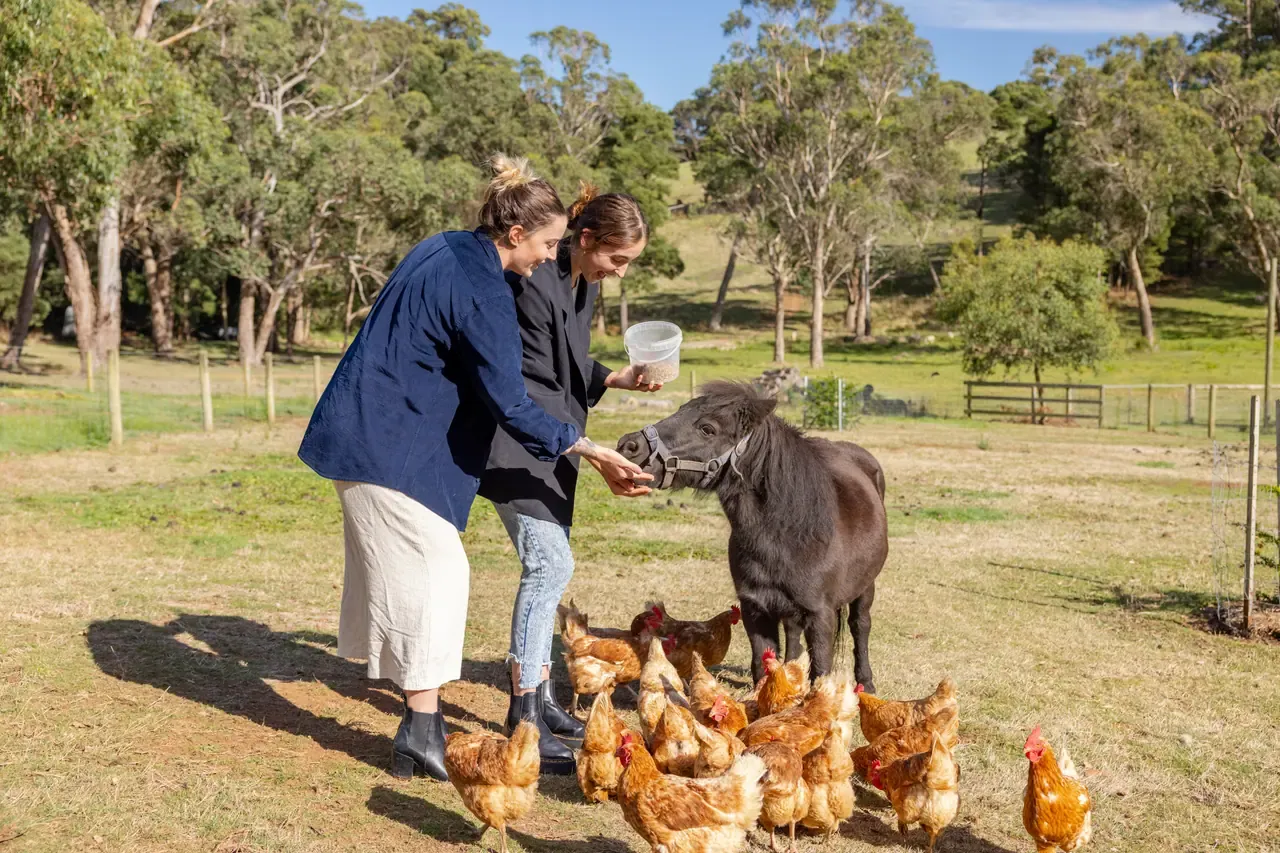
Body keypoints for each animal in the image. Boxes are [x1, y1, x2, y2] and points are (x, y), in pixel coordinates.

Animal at [616, 381, 888, 689]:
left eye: (707, 428)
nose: (629, 445)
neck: (790, 535)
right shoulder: (755, 608)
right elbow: (762, 664)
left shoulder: (821, 615)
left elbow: (821, 668)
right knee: (792, 631)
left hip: (866, 587)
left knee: (860, 626)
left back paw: (866, 682)